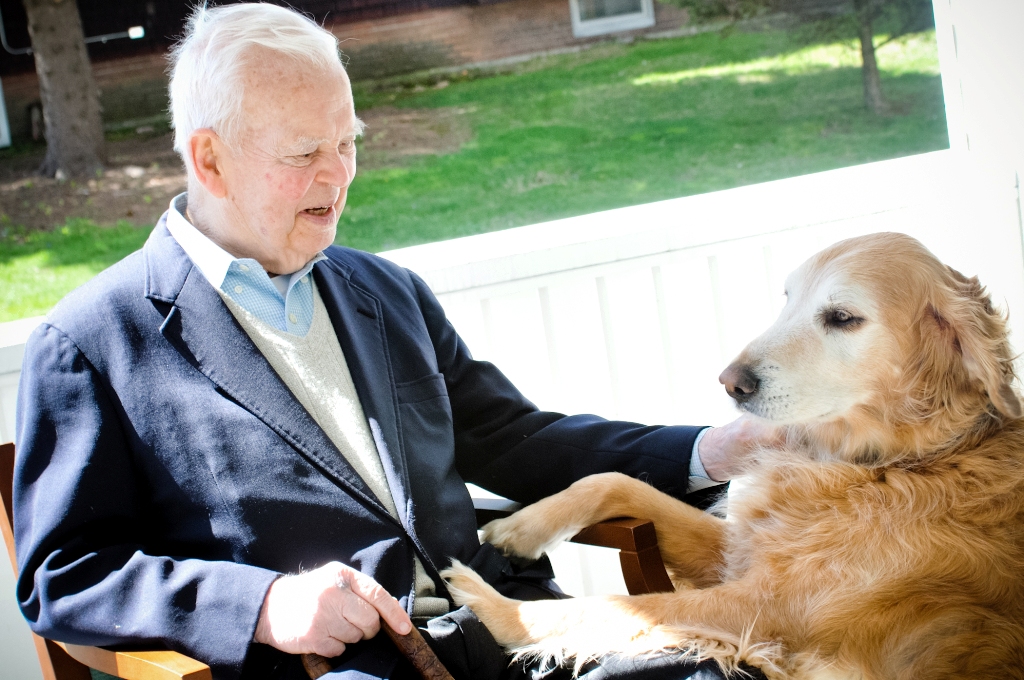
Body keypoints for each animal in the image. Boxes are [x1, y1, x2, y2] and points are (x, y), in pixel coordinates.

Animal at [444, 231, 1024, 675]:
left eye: (842, 317)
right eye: (787, 298)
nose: (729, 382)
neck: (890, 462)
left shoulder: (762, 608)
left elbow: (619, 608)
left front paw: (491, 607)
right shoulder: (740, 549)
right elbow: (612, 480)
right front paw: (521, 528)